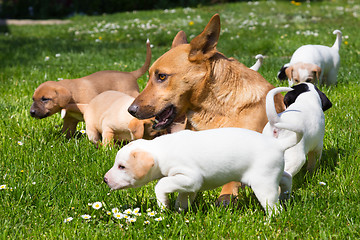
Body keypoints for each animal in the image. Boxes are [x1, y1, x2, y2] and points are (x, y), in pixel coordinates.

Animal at [105, 125, 300, 216]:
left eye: (122, 166)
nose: (105, 179)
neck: (162, 149)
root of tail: (278, 144)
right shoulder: (188, 186)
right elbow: (183, 198)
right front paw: (179, 212)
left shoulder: (189, 177)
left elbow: (161, 184)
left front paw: (163, 205)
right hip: (272, 174)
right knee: (286, 178)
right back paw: (286, 196)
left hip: (263, 184)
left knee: (273, 206)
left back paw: (271, 219)